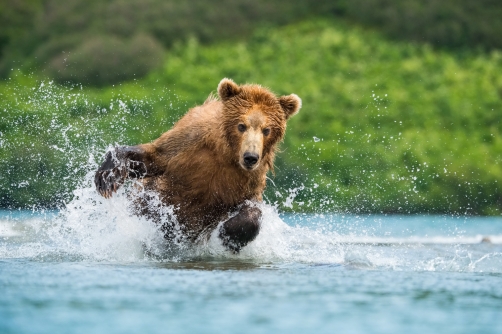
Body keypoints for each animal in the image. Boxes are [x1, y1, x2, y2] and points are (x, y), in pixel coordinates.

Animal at [94, 78, 300, 250]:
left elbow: (251, 208)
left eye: (267, 130)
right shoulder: (189, 143)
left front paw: (229, 234)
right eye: (241, 125)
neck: (226, 153)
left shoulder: (247, 179)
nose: (251, 157)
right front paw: (106, 177)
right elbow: (152, 158)